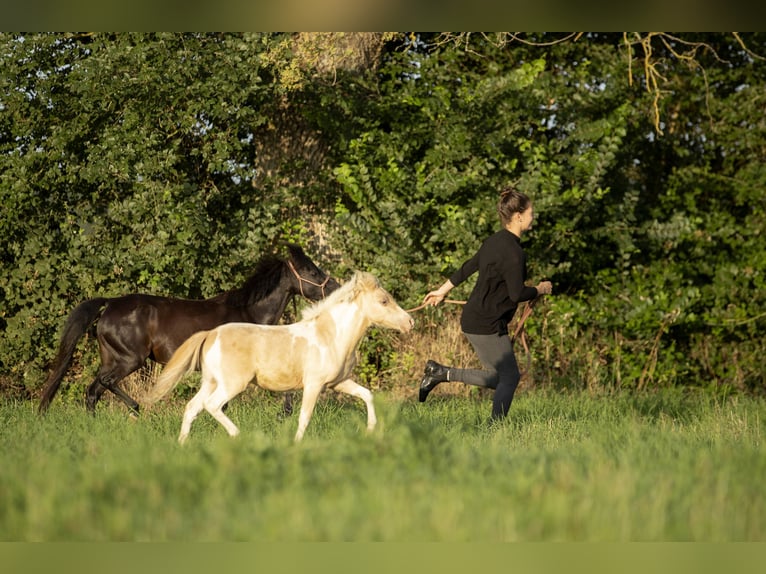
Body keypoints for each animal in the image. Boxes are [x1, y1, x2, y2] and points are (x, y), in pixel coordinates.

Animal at [38, 245, 340, 416]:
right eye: (312, 271)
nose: (335, 287)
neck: (249, 314)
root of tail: (110, 304)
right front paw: (284, 414)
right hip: (129, 359)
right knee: (105, 384)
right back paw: (137, 409)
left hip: (112, 358)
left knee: (93, 391)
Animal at [147, 272, 416, 444]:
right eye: (383, 301)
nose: (410, 322)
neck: (331, 335)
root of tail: (211, 334)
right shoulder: (313, 385)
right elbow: (304, 417)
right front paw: (296, 444)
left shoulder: (338, 383)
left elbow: (367, 395)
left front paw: (371, 430)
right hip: (232, 384)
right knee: (211, 406)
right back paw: (238, 435)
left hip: (211, 382)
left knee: (192, 407)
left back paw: (183, 444)